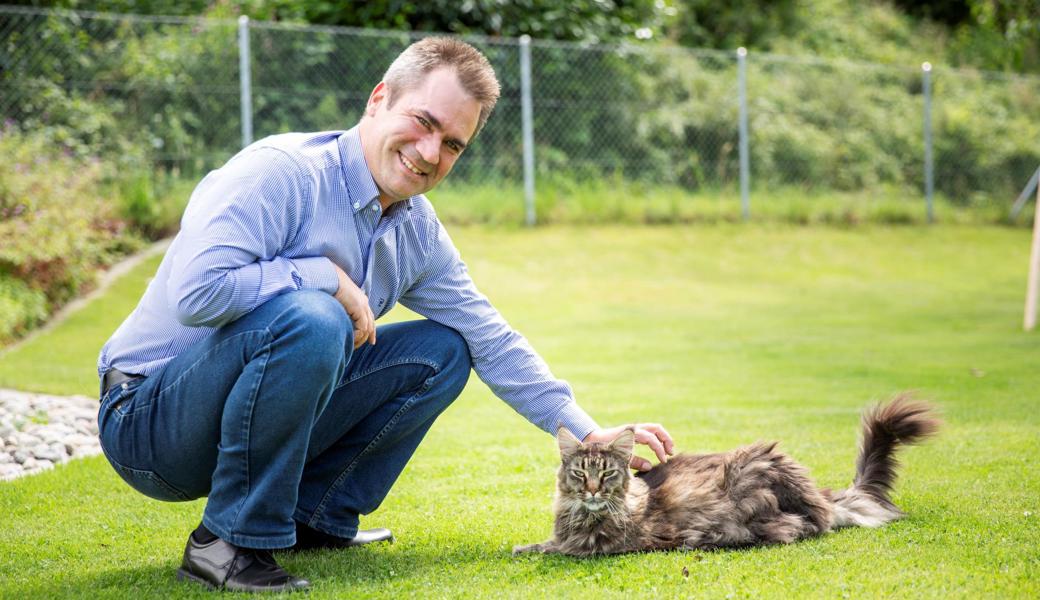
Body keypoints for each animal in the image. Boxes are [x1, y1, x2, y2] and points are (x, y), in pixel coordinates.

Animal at [513, 393, 944, 557]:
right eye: (579, 473)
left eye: (606, 476)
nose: (590, 491)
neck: (580, 514)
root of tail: (820, 496)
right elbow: (549, 542)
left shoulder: (607, 545)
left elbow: (561, 547)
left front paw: (530, 548)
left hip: (751, 477)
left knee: (803, 526)